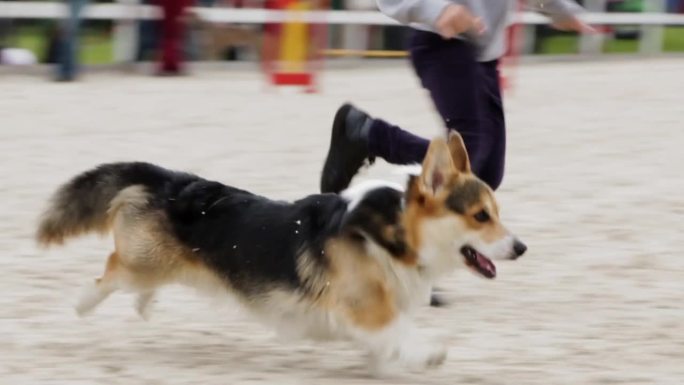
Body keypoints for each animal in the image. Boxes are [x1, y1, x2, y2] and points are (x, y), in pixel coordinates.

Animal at [37, 133, 528, 372]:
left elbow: (389, 342)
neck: (395, 233)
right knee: (110, 272)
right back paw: (80, 305)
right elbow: (400, 332)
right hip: (141, 262)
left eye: (496, 212)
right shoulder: (366, 308)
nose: (522, 248)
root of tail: (170, 179)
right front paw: (427, 354)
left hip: (163, 265)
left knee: (144, 284)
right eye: (481, 216)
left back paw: (143, 306)